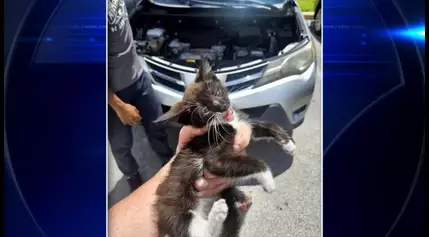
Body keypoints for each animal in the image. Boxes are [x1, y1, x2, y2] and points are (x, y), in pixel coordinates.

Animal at [152, 59, 296, 237]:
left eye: (216, 91)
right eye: (205, 110)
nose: (221, 106)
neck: (227, 123)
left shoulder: (243, 125)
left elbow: (267, 125)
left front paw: (288, 144)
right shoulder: (212, 156)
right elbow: (252, 162)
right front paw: (268, 179)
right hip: (175, 212)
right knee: (200, 232)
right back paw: (217, 212)